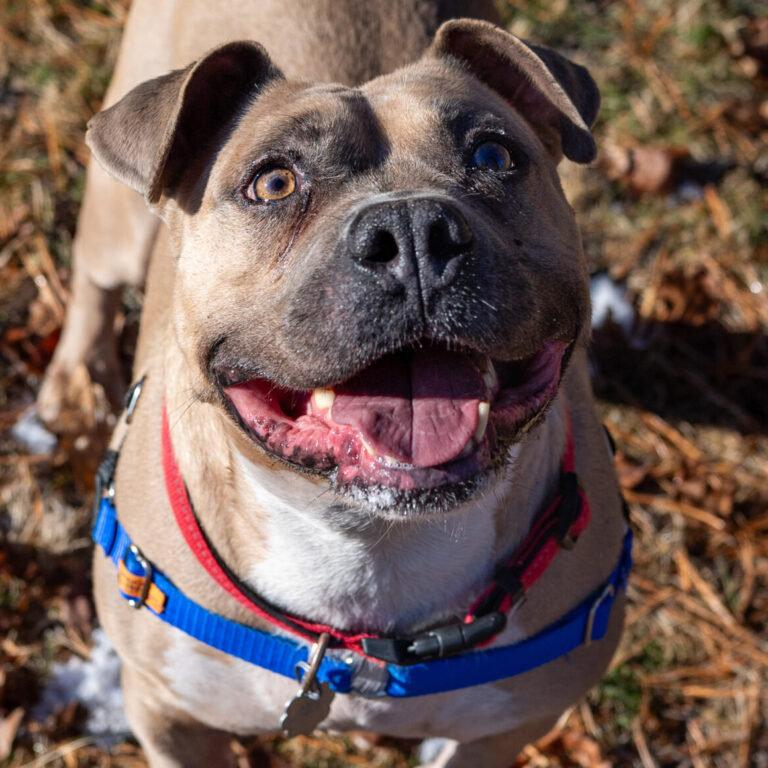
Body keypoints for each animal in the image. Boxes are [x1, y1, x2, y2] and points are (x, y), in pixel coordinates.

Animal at [37, 3, 632, 764]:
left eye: (494, 158)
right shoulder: (168, 713)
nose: (413, 229)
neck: (366, 548)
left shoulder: (506, 728)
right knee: (95, 276)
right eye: (273, 183)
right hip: (116, 222)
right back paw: (76, 382)